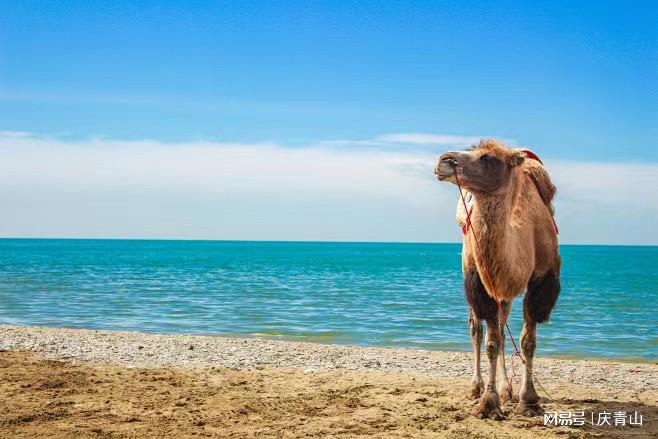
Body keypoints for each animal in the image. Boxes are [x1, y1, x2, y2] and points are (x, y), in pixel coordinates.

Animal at [430, 139, 560, 422]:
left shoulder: (541, 279)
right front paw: (488, 403)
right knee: (476, 329)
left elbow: (527, 342)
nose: (443, 160)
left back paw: (506, 389)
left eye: (488, 158)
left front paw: (527, 399)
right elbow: (490, 342)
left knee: (501, 326)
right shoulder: (481, 283)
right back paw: (476, 387)